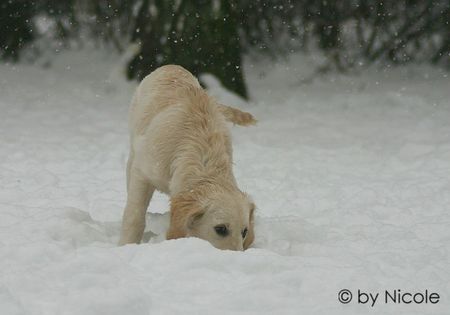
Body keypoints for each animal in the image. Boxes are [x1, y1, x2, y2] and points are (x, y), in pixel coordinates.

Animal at [118, 65, 256, 252]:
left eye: (244, 232)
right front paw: (127, 244)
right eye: (221, 229)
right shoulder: (142, 173)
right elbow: (135, 216)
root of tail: (172, 66)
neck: (203, 157)